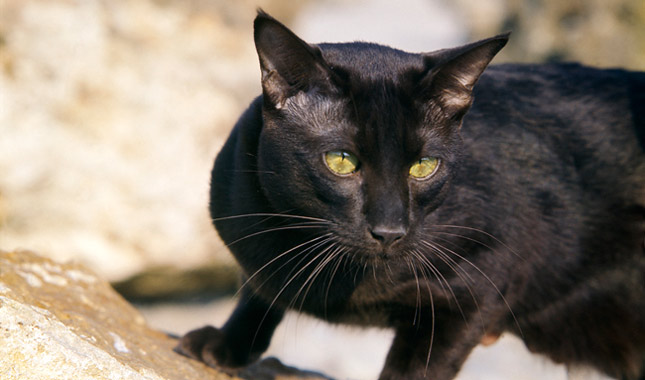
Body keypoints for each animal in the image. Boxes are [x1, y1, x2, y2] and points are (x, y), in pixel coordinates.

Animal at [174, 10, 640, 378]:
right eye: (341, 161)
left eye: (423, 166)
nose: (390, 230)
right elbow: (258, 288)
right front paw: (227, 343)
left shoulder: (478, 290)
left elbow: (414, 369)